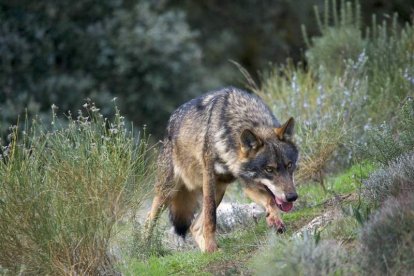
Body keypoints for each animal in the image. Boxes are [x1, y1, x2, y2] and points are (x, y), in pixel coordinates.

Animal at [145, 87, 298, 252]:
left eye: (289, 165)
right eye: (269, 169)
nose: (292, 197)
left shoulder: (248, 183)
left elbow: (270, 200)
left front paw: (274, 220)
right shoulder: (209, 177)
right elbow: (211, 217)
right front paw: (211, 247)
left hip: (219, 190)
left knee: (194, 227)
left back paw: (206, 252)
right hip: (169, 192)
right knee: (149, 219)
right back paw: (144, 248)